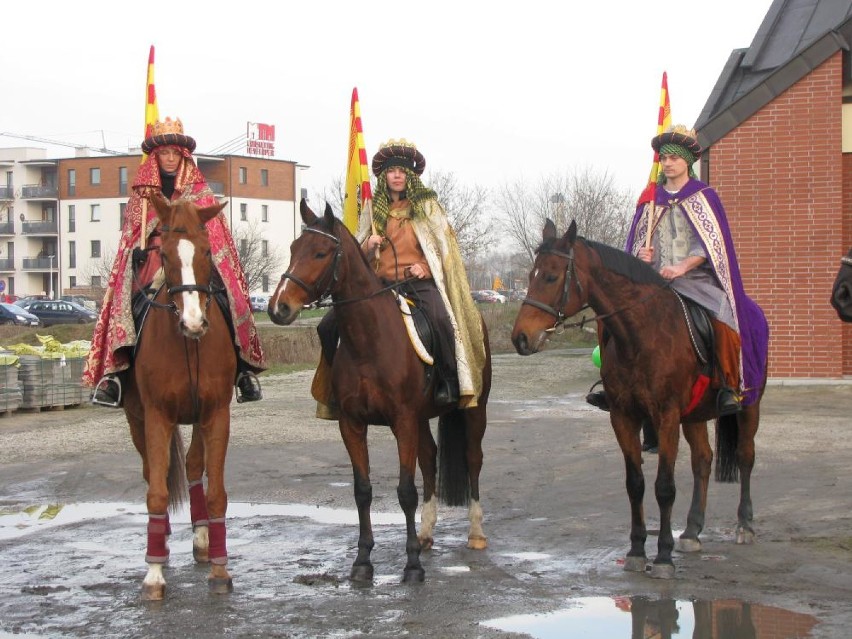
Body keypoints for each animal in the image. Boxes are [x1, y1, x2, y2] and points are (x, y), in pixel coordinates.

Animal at [122, 194, 236, 600]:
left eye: (207, 251)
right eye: (165, 254)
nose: (193, 322)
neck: (187, 343)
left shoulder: (215, 413)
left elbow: (216, 491)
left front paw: (220, 568)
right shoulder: (157, 415)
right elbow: (156, 491)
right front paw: (154, 573)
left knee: (192, 465)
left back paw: (202, 537)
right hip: (136, 417)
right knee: (150, 472)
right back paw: (163, 540)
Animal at [266, 201, 492, 584]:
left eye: (321, 252)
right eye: (295, 249)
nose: (278, 308)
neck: (369, 341)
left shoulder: (402, 420)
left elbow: (405, 492)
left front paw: (412, 565)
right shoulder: (353, 424)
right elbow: (363, 491)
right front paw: (363, 561)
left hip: (473, 409)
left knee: (473, 461)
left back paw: (475, 533)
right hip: (421, 420)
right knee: (429, 460)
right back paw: (426, 533)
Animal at [512, 220, 772, 580]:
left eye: (551, 276)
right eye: (531, 275)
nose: (520, 338)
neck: (640, 333)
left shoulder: (666, 416)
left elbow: (664, 486)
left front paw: (663, 556)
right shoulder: (623, 416)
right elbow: (635, 483)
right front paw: (637, 550)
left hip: (749, 404)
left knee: (746, 457)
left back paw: (744, 525)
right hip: (694, 415)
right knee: (703, 461)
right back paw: (692, 531)